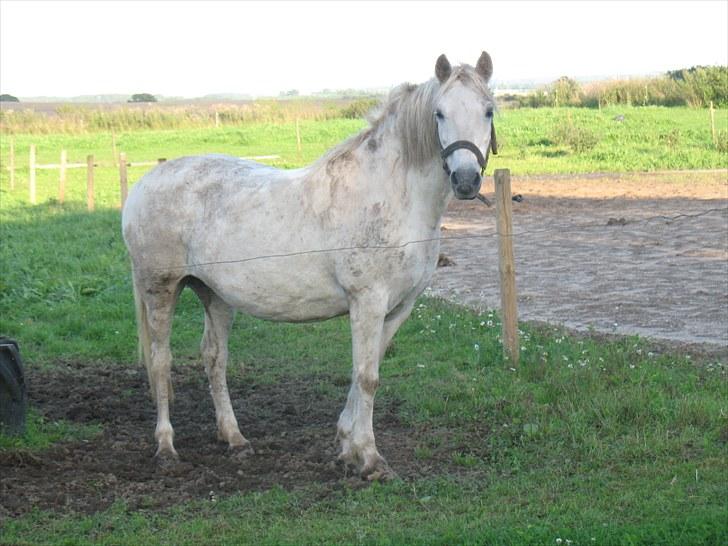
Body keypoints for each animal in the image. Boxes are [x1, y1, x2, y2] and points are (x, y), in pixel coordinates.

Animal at [125, 50, 498, 476]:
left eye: (489, 110)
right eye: (439, 113)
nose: (466, 180)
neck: (391, 194)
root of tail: (142, 184)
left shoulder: (399, 307)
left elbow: (364, 370)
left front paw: (346, 444)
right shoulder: (367, 301)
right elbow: (368, 377)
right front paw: (370, 458)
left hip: (214, 295)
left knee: (214, 359)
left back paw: (235, 438)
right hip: (159, 289)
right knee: (160, 362)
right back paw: (166, 446)